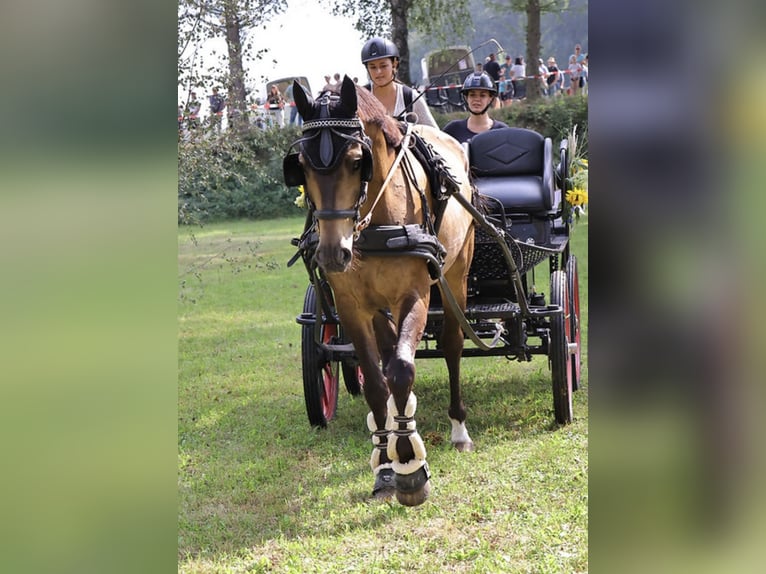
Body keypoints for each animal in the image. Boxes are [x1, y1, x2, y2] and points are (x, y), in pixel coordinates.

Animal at [288, 76, 476, 508]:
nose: (332, 252)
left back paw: (458, 428)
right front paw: (387, 463)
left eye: (358, 160)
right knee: (389, 351)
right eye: (300, 165)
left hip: (456, 275)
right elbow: (376, 381)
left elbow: (403, 369)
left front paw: (410, 467)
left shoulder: (415, 294)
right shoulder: (353, 306)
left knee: (452, 345)